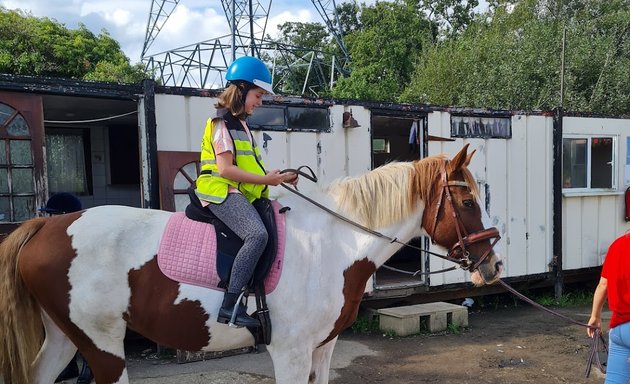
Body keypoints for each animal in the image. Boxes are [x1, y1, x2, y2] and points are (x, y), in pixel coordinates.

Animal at [0, 145, 504, 384]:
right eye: (466, 201)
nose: (492, 264)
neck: (332, 243)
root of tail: (46, 226)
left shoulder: (323, 349)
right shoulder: (291, 351)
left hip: (66, 336)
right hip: (101, 345)